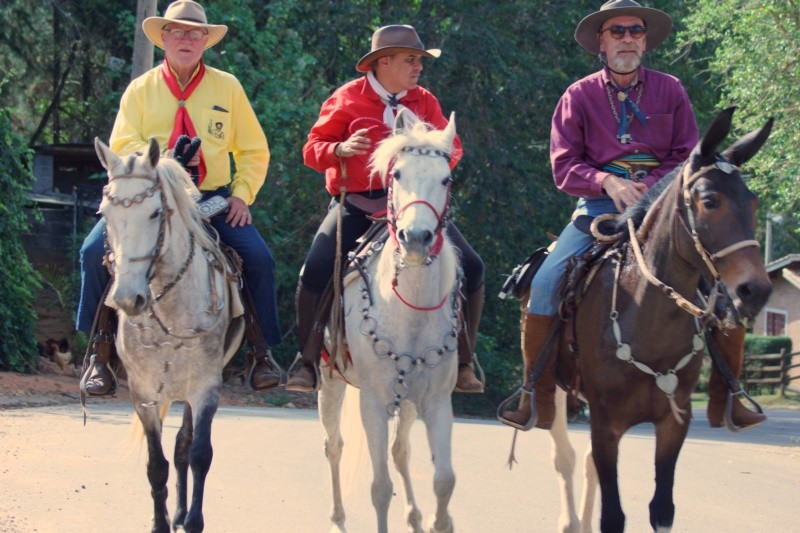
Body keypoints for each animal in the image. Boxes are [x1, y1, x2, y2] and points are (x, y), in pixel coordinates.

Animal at [93, 138, 244, 532]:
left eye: (155, 213)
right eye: (105, 214)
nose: (128, 298)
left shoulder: (205, 388)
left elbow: (199, 454)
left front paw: (192, 521)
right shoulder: (143, 394)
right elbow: (156, 465)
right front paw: (159, 523)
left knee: (184, 447)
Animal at [318, 113, 460, 532]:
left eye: (446, 179)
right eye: (397, 173)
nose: (415, 238)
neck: (409, 311)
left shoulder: (436, 400)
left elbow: (444, 480)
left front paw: (439, 520)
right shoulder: (374, 402)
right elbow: (380, 487)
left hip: (408, 400)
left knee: (400, 451)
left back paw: (414, 516)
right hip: (330, 382)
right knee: (334, 446)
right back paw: (338, 516)